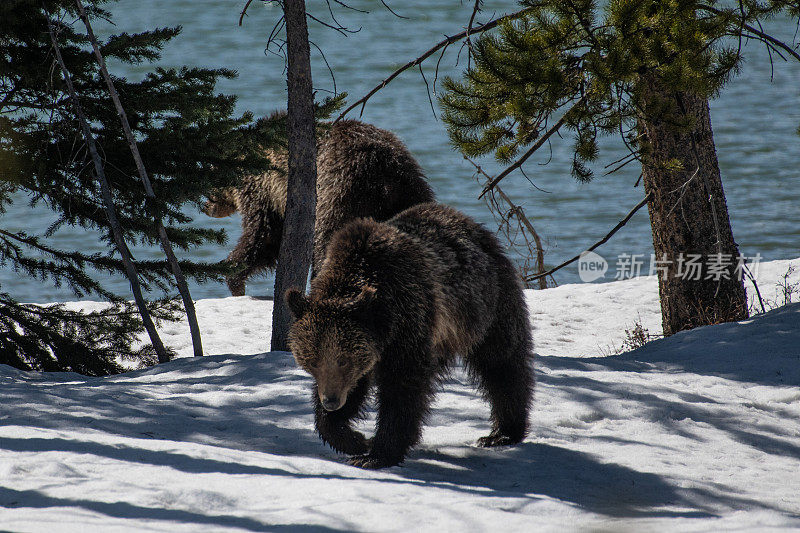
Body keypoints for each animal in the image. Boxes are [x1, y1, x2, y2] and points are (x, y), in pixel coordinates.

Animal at [203, 116, 434, 296]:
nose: (206, 207)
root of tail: (386, 174)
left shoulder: (265, 188)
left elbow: (263, 234)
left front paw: (233, 275)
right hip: (410, 194)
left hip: (337, 194)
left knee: (326, 244)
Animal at [284, 202, 536, 468]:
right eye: (312, 361)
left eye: (343, 360)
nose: (331, 401)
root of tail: (468, 221)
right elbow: (356, 387)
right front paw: (353, 439)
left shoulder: (407, 318)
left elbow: (402, 387)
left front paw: (377, 453)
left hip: (487, 303)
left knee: (502, 362)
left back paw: (503, 432)